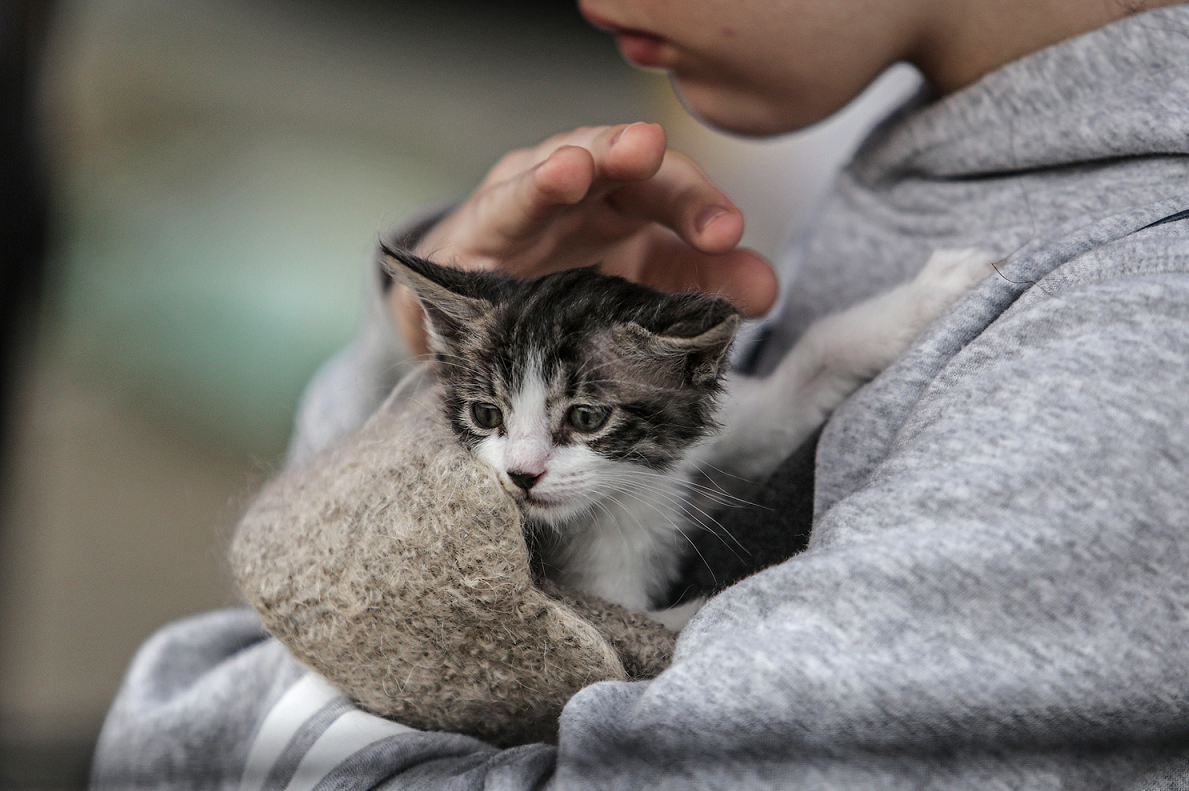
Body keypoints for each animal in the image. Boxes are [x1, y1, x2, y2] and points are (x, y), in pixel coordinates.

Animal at [382, 243, 994, 613]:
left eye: (587, 417)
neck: (642, 481)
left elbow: (816, 362)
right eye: (487, 415)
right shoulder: (604, 591)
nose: (522, 474)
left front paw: (943, 284)